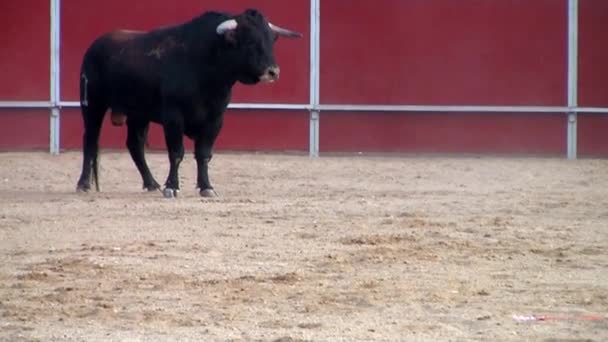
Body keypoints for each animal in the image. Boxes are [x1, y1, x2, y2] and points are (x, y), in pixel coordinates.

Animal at [75, 8, 302, 198]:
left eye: (271, 40)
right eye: (249, 41)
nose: (273, 71)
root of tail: (95, 46)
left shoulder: (215, 119)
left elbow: (203, 154)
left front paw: (206, 187)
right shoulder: (174, 117)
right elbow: (176, 152)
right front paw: (172, 187)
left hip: (138, 113)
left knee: (135, 144)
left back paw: (151, 183)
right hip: (92, 104)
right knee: (90, 140)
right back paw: (83, 184)